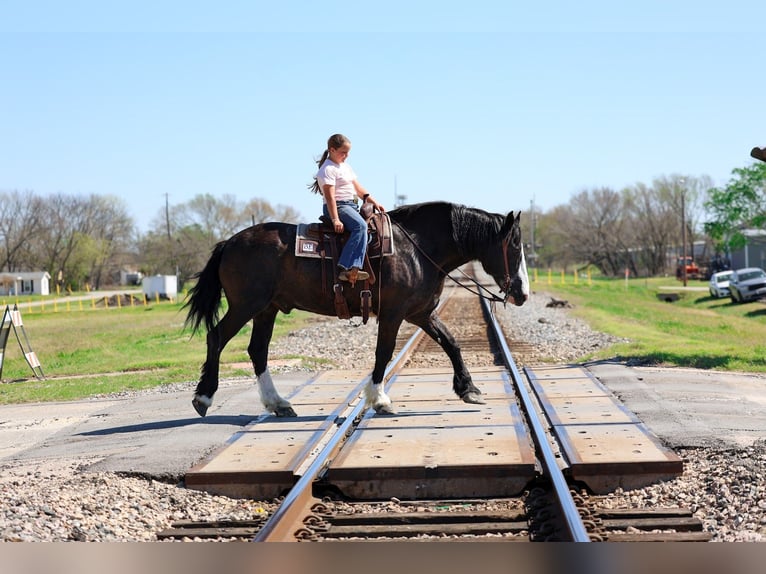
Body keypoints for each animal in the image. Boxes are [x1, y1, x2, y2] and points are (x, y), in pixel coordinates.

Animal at [184, 201, 530, 418]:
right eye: (514, 246)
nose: (523, 293)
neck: (416, 249)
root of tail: (229, 243)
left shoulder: (421, 313)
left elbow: (451, 342)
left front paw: (469, 388)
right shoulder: (393, 314)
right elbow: (384, 353)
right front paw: (380, 399)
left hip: (266, 310)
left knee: (257, 350)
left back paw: (278, 403)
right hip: (246, 306)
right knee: (216, 338)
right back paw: (203, 397)